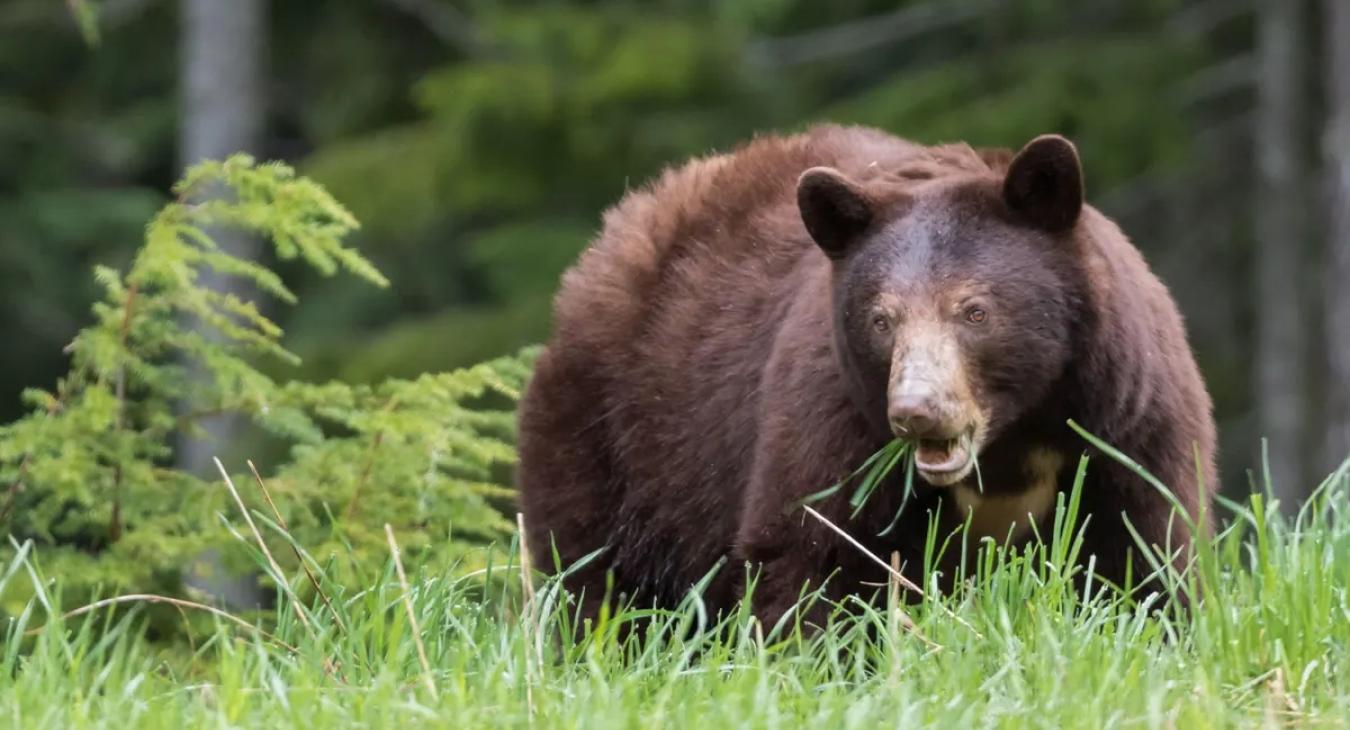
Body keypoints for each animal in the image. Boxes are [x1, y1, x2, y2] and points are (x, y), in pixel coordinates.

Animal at [513, 122, 1215, 623]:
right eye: (881, 319)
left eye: (975, 310)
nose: (917, 409)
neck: (1008, 444)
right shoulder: (837, 417)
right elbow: (812, 550)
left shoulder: (1128, 425)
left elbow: (1144, 556)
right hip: (618, 434)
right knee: (596, 574)